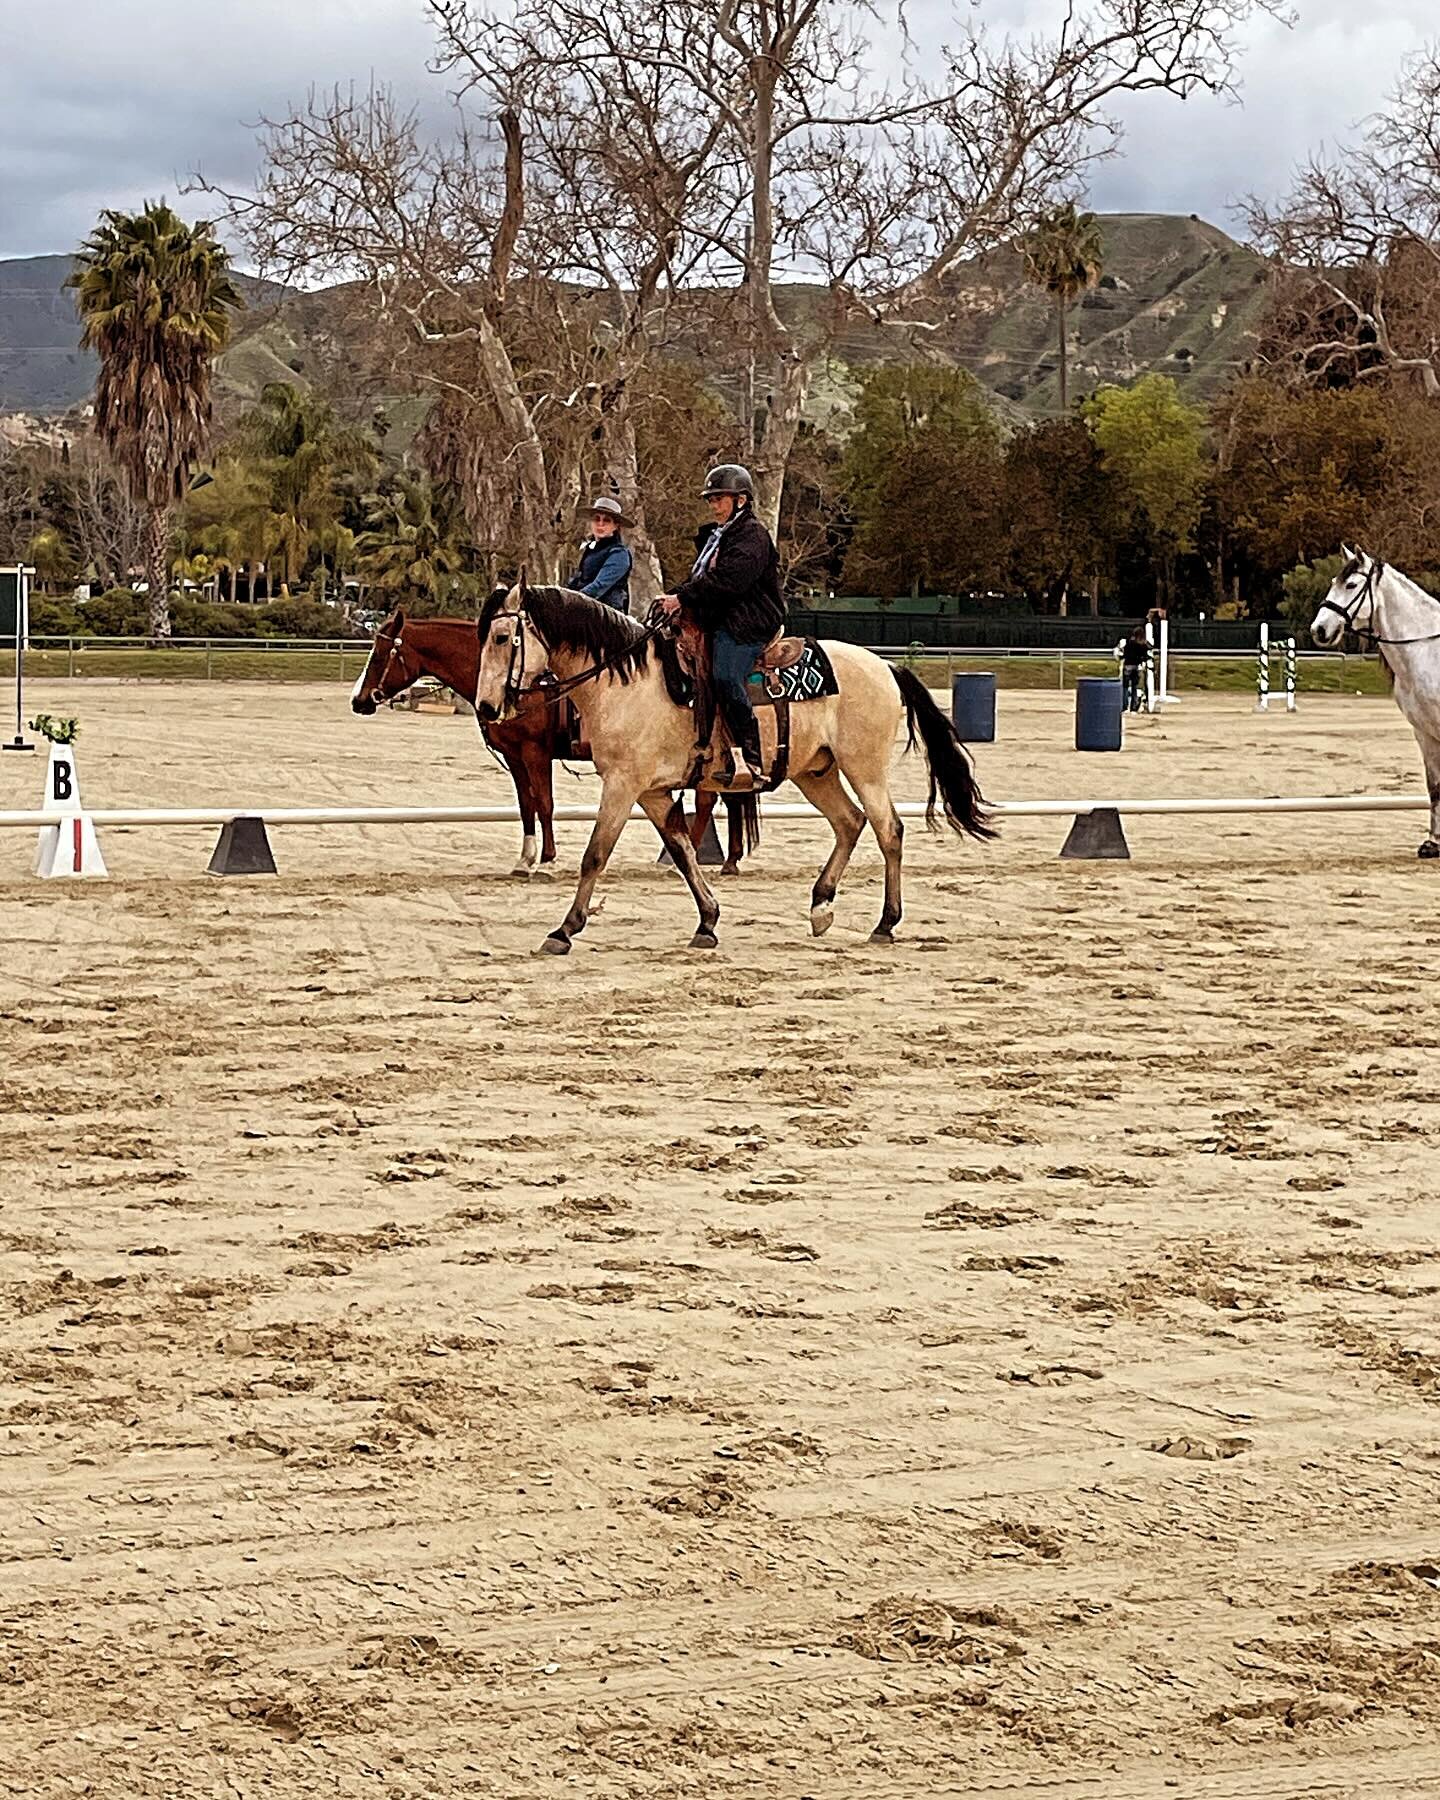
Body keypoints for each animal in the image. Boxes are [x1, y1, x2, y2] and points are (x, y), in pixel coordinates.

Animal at [351, 612, 748, 878]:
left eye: (380, 655)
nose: (358, 700)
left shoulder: (534, 752)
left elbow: (544, 802)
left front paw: (547, 859)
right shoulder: (514, 755)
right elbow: (526, 805)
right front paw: (525, 859)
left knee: (708, 800)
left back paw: (691, 857)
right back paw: (728, 860)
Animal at [478, 586, 993, 957]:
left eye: (502, 638)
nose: (486, 707)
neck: (626, 681)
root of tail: (885, 665)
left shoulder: (623, 785)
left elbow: (595, 855)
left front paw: (563, 931)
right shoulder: (652, 792)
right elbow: (682, 851)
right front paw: (707, 921)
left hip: (863, 767)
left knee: (889, 829)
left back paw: (885, 923)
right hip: (816, 771)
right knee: (850, 822)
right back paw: (821, 906)